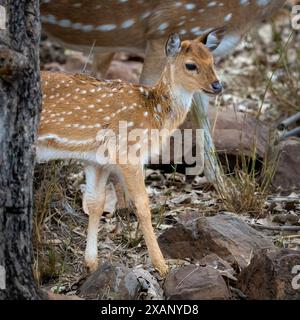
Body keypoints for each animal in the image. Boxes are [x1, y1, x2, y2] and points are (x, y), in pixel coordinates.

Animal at [37, 30, 224, 276]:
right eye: (191, 65)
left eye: (212, 61)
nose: (217, 85)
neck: (155, 114)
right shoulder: (129, 153)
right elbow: (142, 206)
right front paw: (162, 266)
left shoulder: (97, 160)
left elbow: (95, 203)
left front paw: (91, 264)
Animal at [39, 0, 286, 184]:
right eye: (190, 65)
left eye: (212, 62)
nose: (219, 86)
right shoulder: (164, 29)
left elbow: (203, 121)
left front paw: (225, 188)